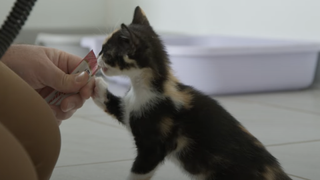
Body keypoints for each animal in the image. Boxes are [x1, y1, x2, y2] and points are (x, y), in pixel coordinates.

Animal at [92, 5, 292, 180]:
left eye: (107, 52)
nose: (97, 57)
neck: (151, 86)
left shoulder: (153, 142)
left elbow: (139, 171)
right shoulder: (131, 109)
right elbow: (116, 106)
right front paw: (93, 84)